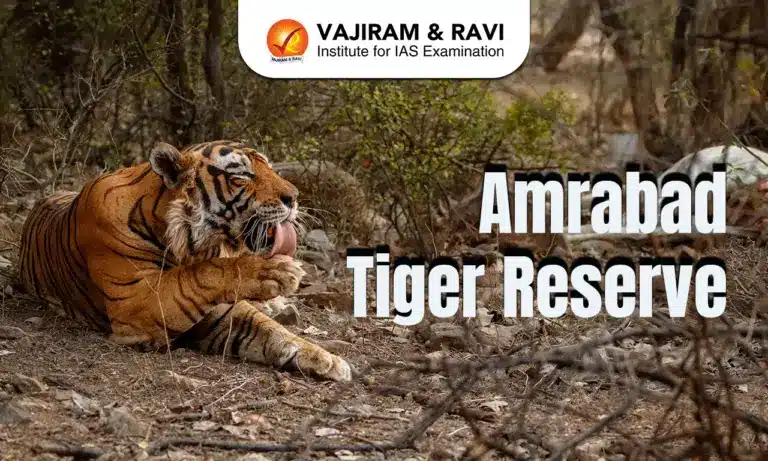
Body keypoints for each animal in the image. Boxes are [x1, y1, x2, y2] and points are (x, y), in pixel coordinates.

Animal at [17, 140, 351, 381]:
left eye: (269, 167)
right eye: (242, 176)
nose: (294, 197)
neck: (191, 244)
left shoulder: (221, 312)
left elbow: (273, 331)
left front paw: (327, 360)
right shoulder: (138, 301)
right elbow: (199, 275)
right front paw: (275, 271)